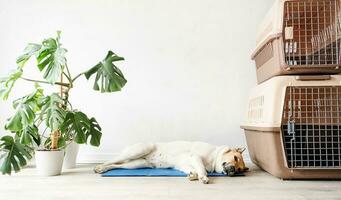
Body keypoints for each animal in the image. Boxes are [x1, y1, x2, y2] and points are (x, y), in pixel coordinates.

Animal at [93, 141, 247, 183]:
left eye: (239, 170)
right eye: (235, 158)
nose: (233, 170)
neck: (214, 156)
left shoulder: (185, 165)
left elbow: (193, 170)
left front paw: (193, 175)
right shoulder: (196, 157)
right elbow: (202, 169)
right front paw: (203, 177)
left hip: (137, 164)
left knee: (117, 165)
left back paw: (104, 169)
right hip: (140, 150)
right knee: (112, 160)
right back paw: (99, 167)